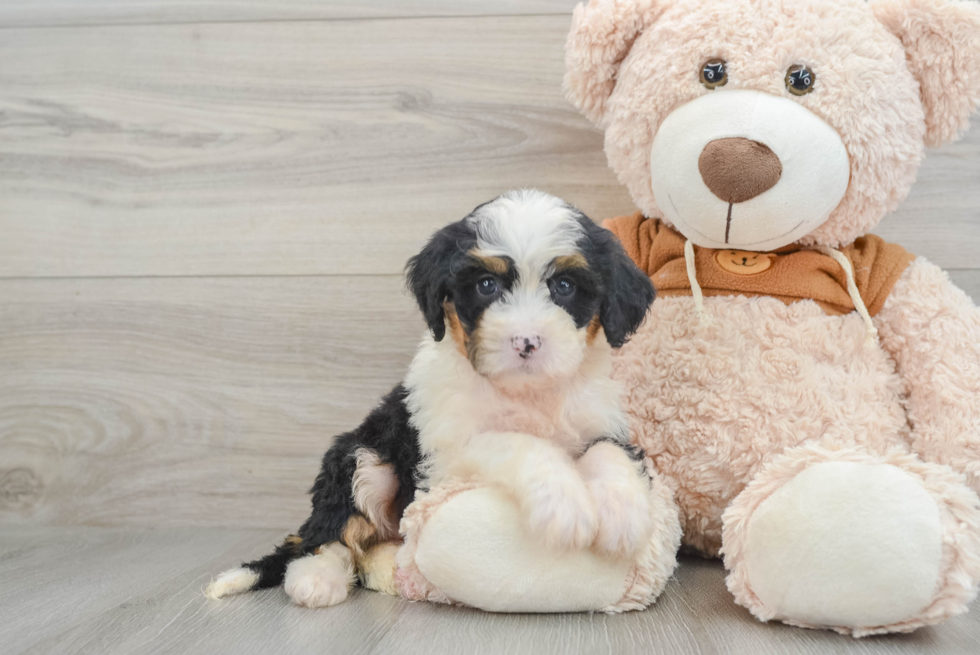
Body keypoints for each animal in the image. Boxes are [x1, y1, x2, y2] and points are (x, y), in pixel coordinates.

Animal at [204, 190, 656, 608]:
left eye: (564, 286)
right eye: (486, 285)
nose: (526, 342)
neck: (527, 393)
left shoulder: (601, 420)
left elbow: (609, 452)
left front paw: (624, 514)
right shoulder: (445, 456)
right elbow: (512, 442)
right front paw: (564, 503)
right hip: (363, 456)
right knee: (330, 531)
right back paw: (317, 577)